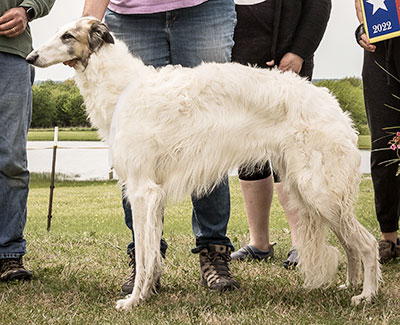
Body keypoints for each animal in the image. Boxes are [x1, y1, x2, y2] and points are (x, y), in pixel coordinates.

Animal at [26, 17, 382, 308]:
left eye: (67, 35)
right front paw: (147, 293)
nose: (30, 57)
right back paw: (348, 286)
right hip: (315, 194)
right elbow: (151, 252)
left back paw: (366, 295)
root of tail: (336, 108)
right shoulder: (153, 195)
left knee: (366, 244)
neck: (125, 87)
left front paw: (133, 300)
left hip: (319, 191)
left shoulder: (142, 190)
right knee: (350, 245)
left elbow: (144, 254)